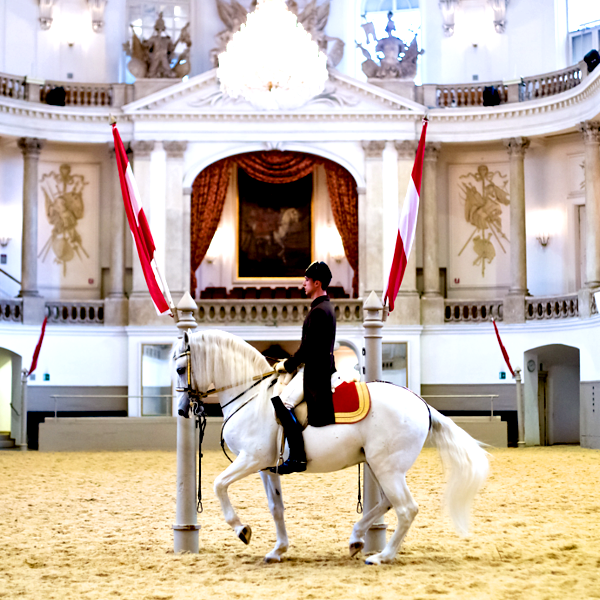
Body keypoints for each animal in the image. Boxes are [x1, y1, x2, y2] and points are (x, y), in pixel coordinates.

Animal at [174, 329, 489, 565]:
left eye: (179, 369)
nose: (182, 410)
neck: (253, 397)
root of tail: (421, 404)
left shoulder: (251, 459)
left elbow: (218, 484)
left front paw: (242, 530)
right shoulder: (267, 467)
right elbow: (276, 508)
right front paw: (278, 550)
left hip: (387, 467)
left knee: (406, 509)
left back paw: (382, 556)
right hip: (381, 466)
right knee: (388, 503)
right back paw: (356, 539)